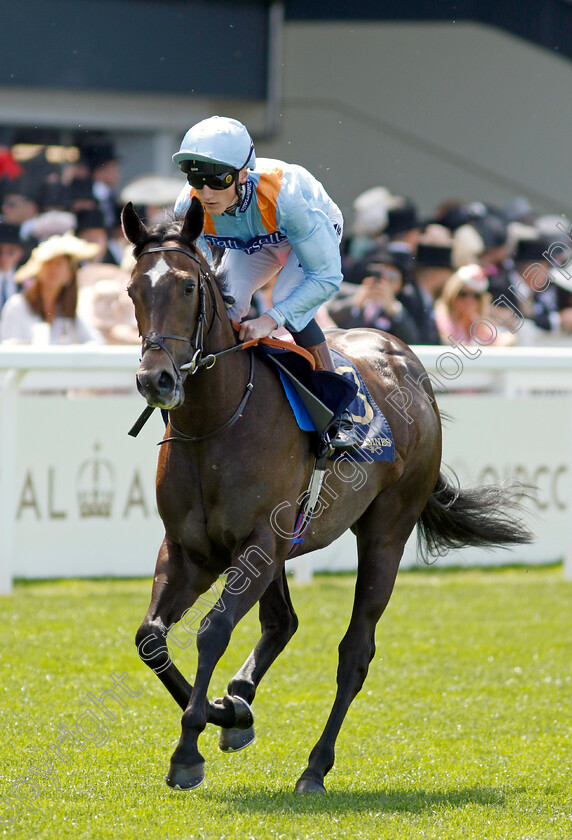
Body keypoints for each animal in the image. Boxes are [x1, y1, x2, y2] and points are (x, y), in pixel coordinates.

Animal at [120, 197, 532, 796]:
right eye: (133, 290)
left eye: (188, 287)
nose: (157, 380)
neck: (218, 423)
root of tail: (407, 361)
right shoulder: (192, 549)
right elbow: (150, 638)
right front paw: (228, 712)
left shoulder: (258, 544)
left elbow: (212, 630)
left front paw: (188, 748)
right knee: (282, 623)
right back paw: (240, 700)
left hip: (385, 532)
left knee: (355, 651)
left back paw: (314, 766)